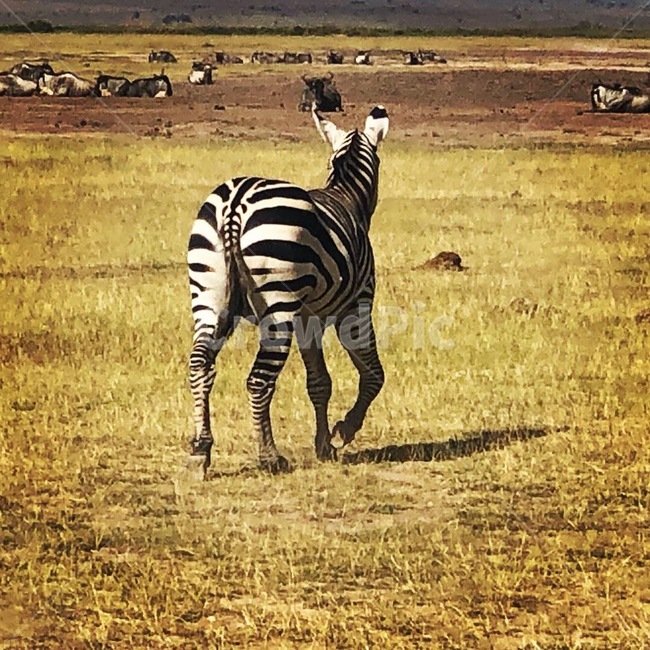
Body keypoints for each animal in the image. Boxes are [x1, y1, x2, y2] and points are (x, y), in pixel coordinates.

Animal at [187, 105, 389, 473]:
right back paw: (269, 456)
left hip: (207, 295)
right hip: (277, 303)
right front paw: (344, 431)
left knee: (199, 365)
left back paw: (200, 449)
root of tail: (236, 202)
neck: (347, 197)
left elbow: (320, 383)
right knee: (259, 379)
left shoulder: (309, 319)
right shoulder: (356, 307)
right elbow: (373, 375)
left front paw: (324, 444)